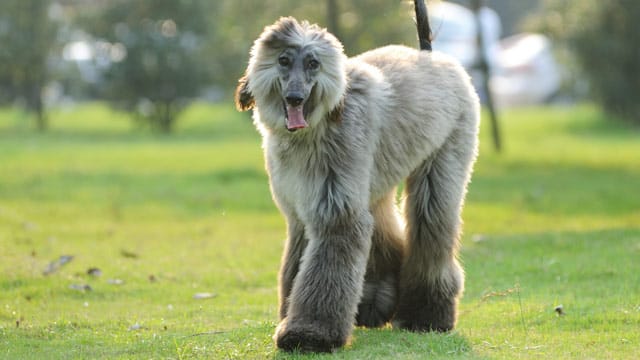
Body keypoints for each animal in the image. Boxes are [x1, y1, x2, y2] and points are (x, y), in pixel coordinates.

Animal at [236, 0, 480, 352]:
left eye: (313, 63)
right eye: (283, 60)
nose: (295, 97)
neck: (318, 126)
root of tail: (430, 56)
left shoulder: (335, 208)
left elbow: (327, 264)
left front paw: (309, 333)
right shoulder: (300, 209)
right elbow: (296, 263)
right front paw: (291, 317)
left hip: (443, 158)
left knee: (431, 226)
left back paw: (427, 315)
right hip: (375, 178)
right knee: (385, 232)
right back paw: (376, 305)